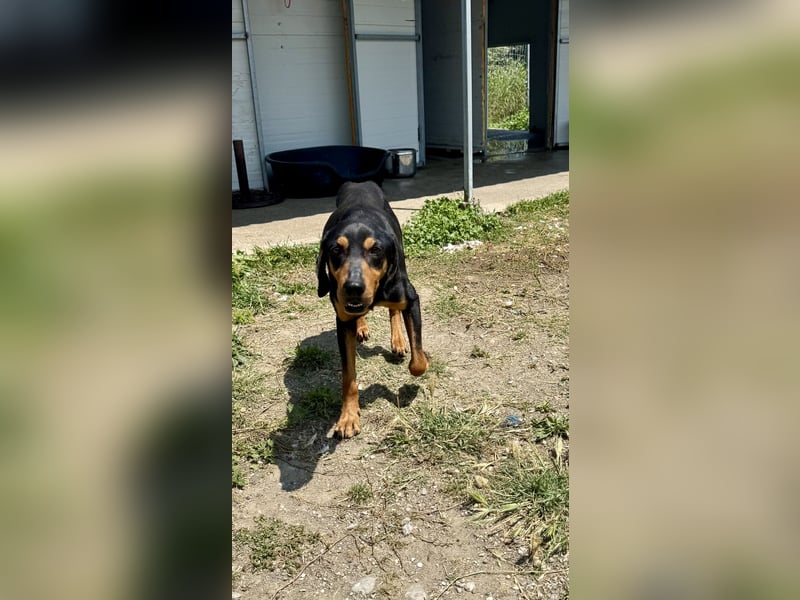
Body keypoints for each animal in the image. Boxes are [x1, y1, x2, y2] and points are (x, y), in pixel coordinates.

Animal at [317, 181, 429, 438]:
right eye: (336, 250)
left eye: (375, 250)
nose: (353, 287)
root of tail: (358, 183)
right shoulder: (342, 320)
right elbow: (348, 376)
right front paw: (348, 417)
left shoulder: (411, 300)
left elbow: (418, 362)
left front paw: (418, 362)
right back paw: (363, 326)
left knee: (393, 311)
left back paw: (398, 340)